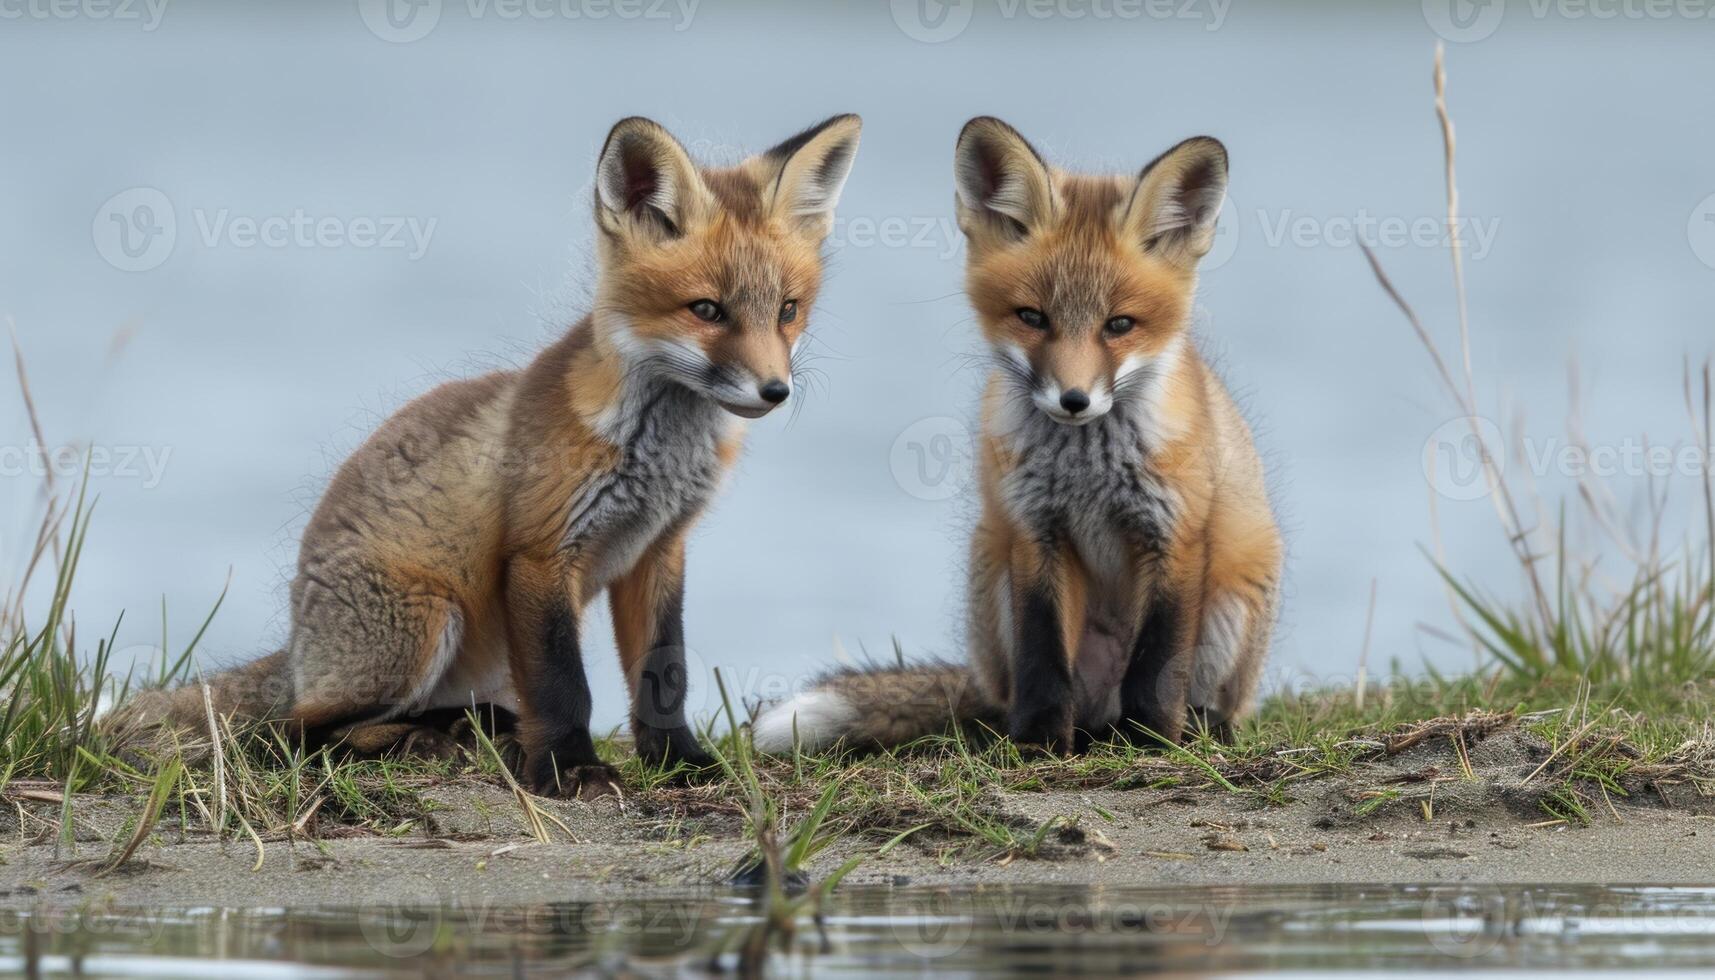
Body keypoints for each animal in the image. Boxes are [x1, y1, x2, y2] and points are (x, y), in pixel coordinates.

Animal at [124, 113, 857, 796]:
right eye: (706, 310)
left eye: (787, 310)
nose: (775, 390)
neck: (656, 456)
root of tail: (299, 649)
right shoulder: (539, 553)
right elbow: (566, 686)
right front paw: (568, 771)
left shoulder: (657, 550)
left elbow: (663, 674)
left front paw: (678, 761)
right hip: (424, 623)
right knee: (292, 734)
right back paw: (414, 740)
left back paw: (466, 726)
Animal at [758, 119, 1282, 755]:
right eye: (1032, 317)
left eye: (1119, 325)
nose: (1074, 400)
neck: (1087, 470)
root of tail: (1101, 711)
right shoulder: (1035, 531)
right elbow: (1043, 655)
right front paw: (1038, 742)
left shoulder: (1173, 534)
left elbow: (1156, 665)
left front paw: (1152, 743)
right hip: (991, 563)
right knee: (1021, 692)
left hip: (1234, 589)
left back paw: (1195, 726)